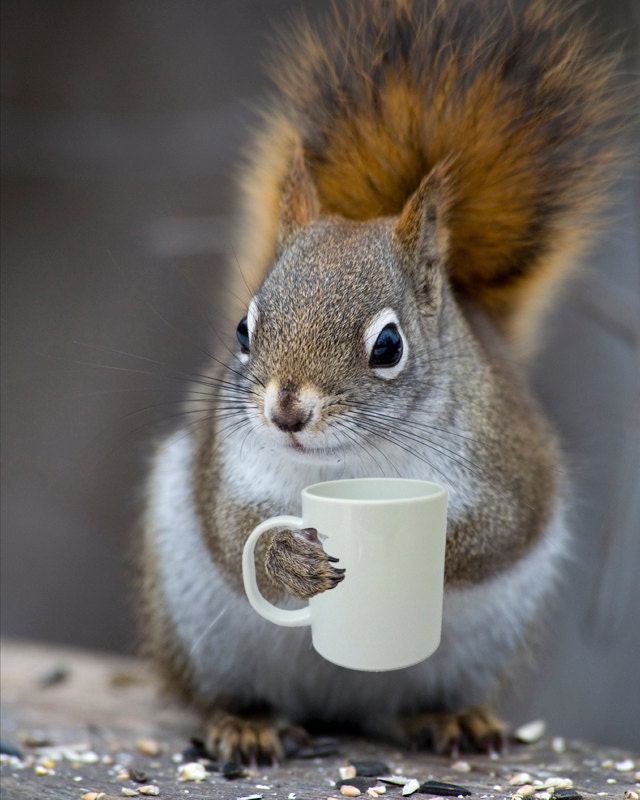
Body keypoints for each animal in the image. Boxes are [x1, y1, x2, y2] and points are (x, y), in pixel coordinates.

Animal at [140, 0, 624, 763]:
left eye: (388, 346)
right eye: (243, 332)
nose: (286, 412)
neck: (352, 464)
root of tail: (339, 707)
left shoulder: (506, 466)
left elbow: (496, 531)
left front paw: (421, 553)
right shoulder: (227, 465)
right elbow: (230, 526)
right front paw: (283, 556)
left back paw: (451, 718)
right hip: (198, 625)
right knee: (227, 689)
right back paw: (244, 722)